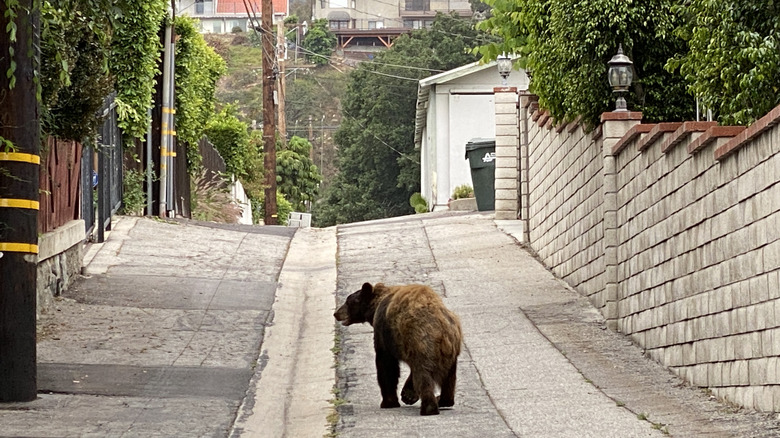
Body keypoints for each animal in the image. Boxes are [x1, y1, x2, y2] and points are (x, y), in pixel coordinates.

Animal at [336, 282, 464, 416]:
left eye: (349, 301)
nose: (336, 313)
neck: (376, 305)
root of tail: (441, 330)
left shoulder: (383, 331)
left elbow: (386, 364)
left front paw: (389, 402)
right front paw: (408, 395)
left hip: (421, 343)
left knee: (423, 375)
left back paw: (429, 408)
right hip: (450, 350)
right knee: (449, 378)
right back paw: (444, 400)